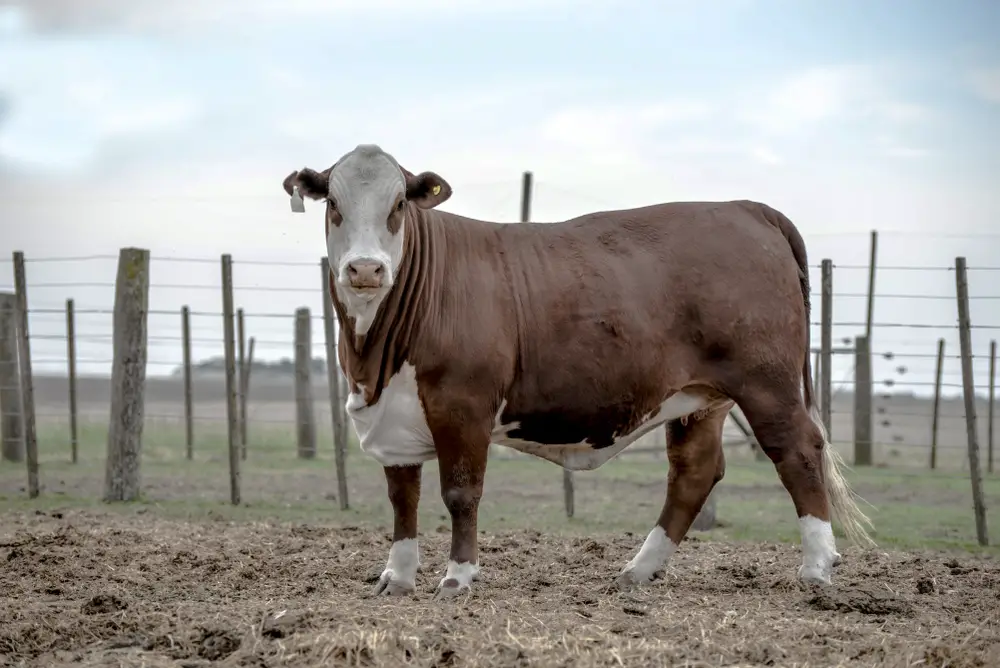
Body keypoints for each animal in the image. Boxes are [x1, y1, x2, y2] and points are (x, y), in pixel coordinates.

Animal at [282, 142, 876, 600]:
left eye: (399, 203)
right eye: (333, 203)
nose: (365, 268)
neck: (374, 355)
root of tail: (746, 207)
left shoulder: (463, 402)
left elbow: (460, 493)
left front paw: (458, 578)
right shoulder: (393, 410)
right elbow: (402, 495)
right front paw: (396, 578)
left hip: (767, 383)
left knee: (798, 450)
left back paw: (817, 568)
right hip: (700, 397)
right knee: (694, 472)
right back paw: (639, 570)